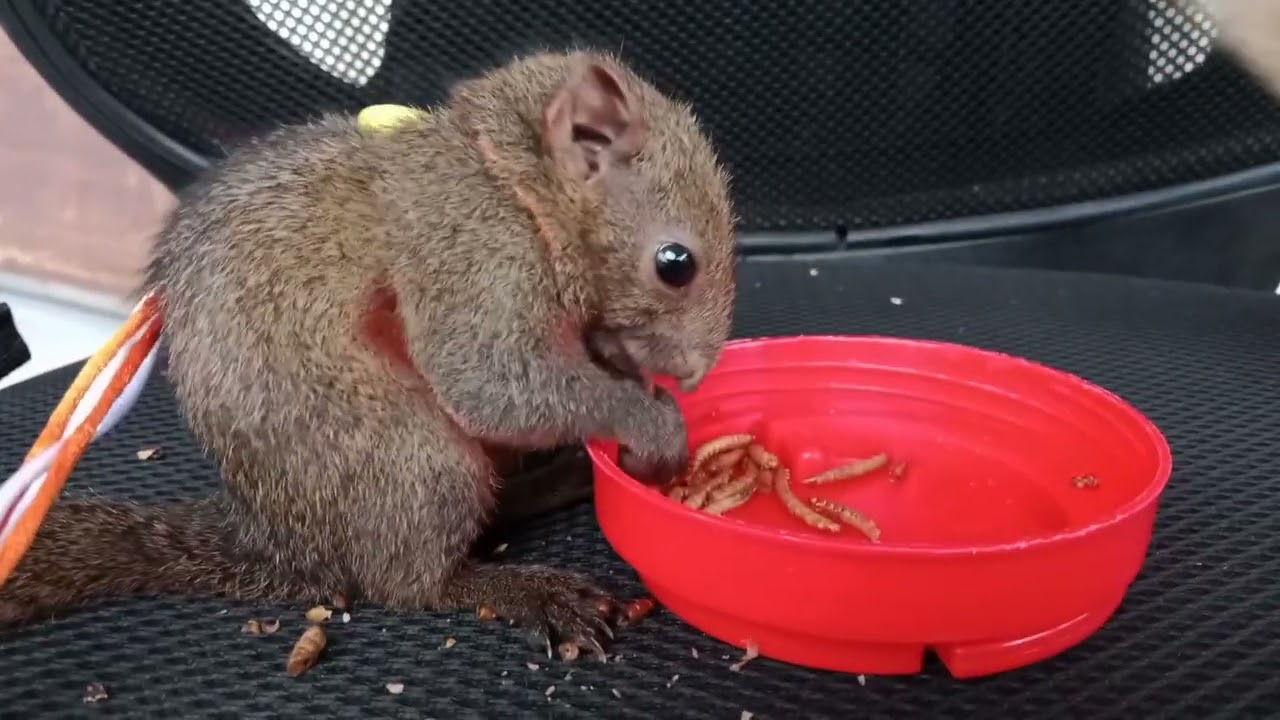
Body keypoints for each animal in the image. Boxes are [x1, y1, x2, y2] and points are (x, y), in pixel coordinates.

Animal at [0, 50, 737, 659]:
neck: (512, 184)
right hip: (413, 464)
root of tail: (280, 542)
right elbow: (487, 381)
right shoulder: (475, 252)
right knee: (408, 581)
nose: (696, 371)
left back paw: (559, 480)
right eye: (675, 264)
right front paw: (652, 423)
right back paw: (524, 589)